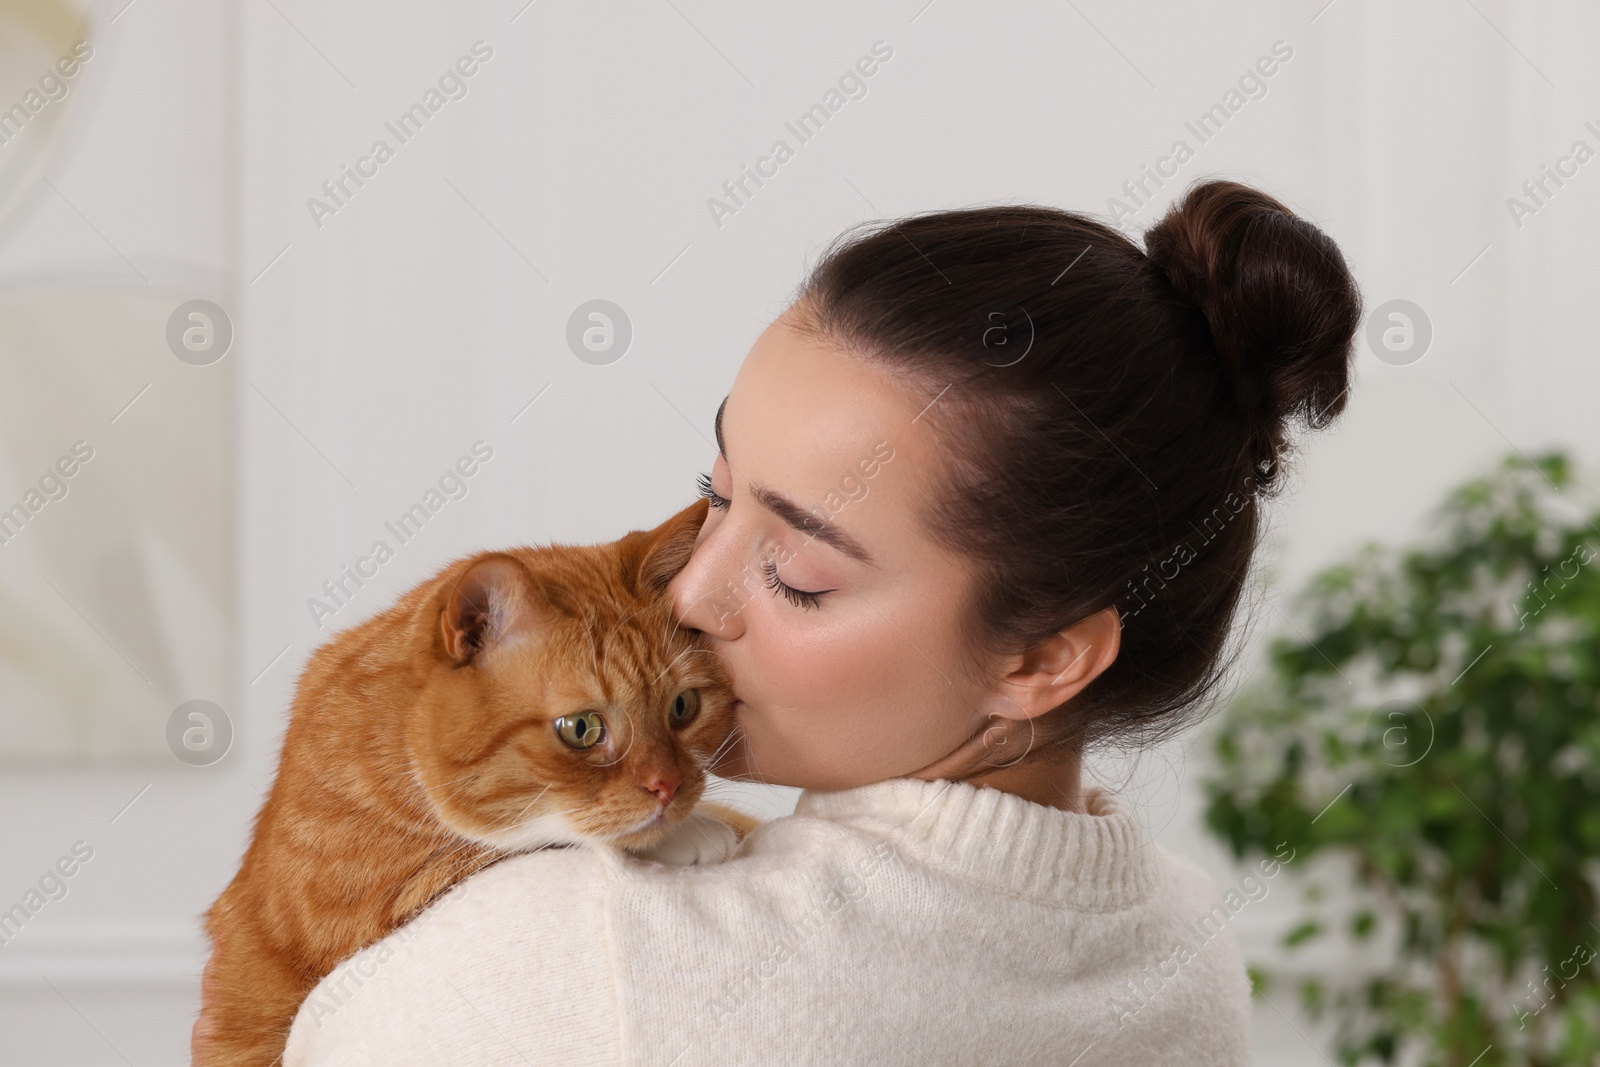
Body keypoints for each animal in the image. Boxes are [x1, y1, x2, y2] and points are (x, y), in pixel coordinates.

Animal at [195, 502, 755, 1067]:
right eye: (581, 729)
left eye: (683, 707)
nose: (668, 786)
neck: (393, 742)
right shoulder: (363, 904)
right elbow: (523, 841)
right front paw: (694, 832)